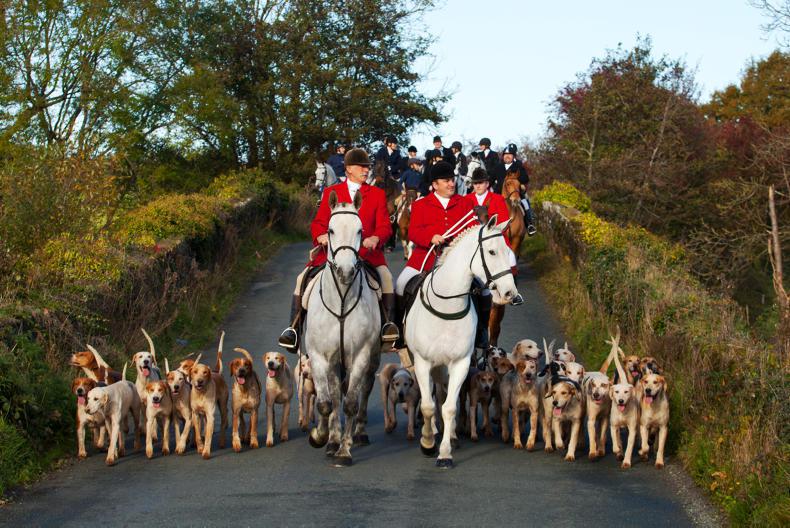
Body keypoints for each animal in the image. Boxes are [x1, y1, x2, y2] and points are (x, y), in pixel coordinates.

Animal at [304, 189, 382, 466]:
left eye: (360, 230)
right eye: (330, 229)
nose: (346, 271)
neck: (341, 301)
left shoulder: (360, 355)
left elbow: (350, 403)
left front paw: (344, 452)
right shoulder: (319, 356)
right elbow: (327, 403)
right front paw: (320, 437)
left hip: (372, 357)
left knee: (364, 389)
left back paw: (358, 433)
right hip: (333, 361)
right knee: (335, 394)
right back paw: (332, 439)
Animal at [406, 214, 524, 466]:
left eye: (508, 250)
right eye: (492, 252)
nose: (510, 293)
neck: (447, 305)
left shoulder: (460, 363)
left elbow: (449, 407)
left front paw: (444, 452)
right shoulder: (422, 362)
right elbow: (428, 406)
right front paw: (427, 443)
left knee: (445, 395)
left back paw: (450, 434)